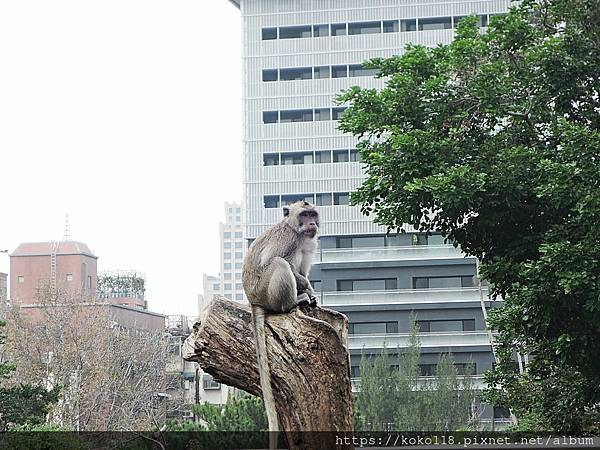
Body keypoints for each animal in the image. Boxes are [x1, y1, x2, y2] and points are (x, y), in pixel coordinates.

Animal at [243, 201, 322, 450]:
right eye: (304, 214)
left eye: (313, 213)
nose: (312, 223)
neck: (297, 231)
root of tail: (253, 300)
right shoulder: (289, 240)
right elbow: (283, 261)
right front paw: (307, 288)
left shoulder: (310, 242)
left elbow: (304, 269)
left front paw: (311, 291)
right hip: (266, 291)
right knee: (279, 264)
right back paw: (292, 303)